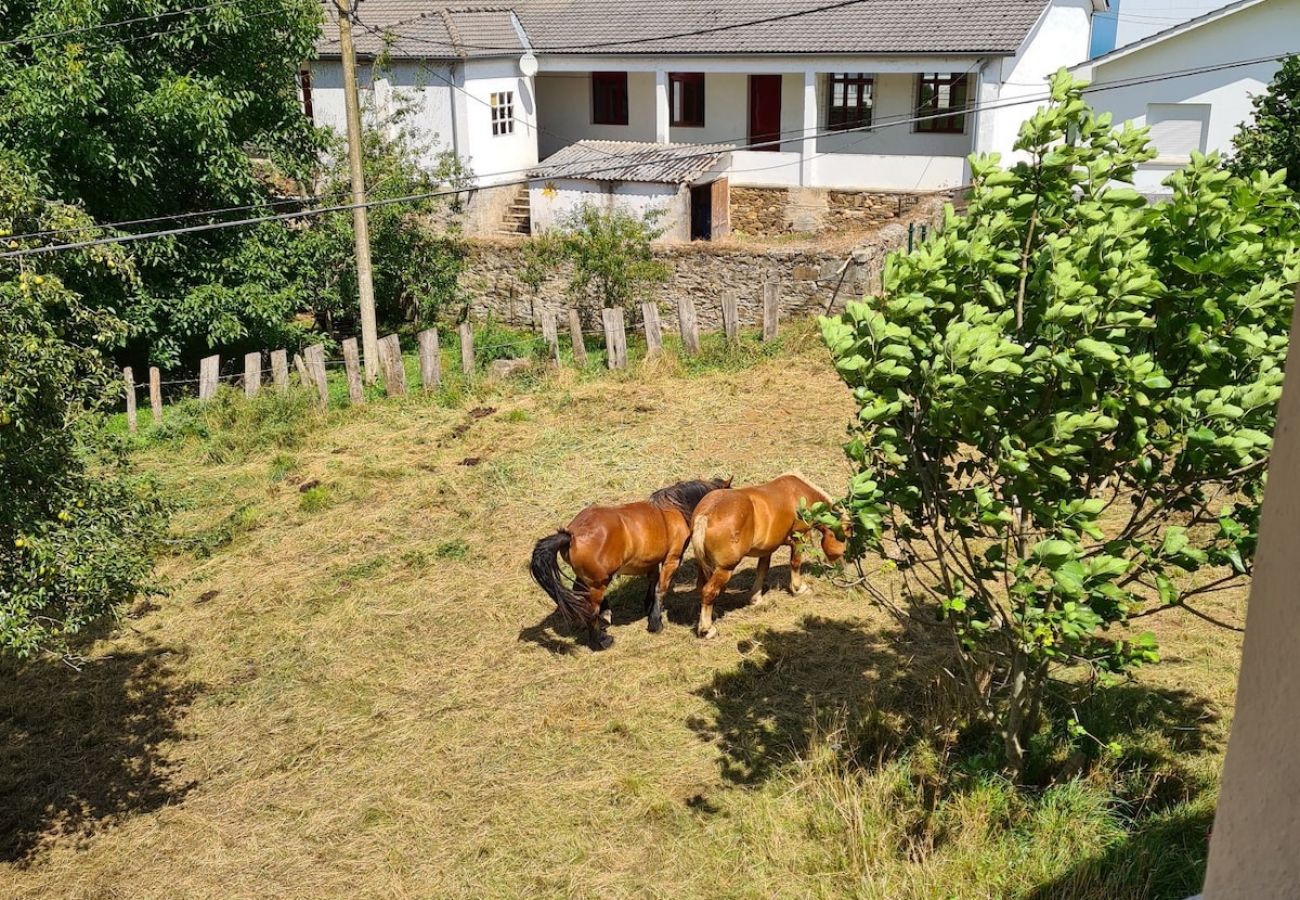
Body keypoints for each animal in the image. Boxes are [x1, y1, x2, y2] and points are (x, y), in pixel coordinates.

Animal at [530, 478, 733, 647]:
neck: (673, 509)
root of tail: (570, 535)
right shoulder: (672, 559)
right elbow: (661, 588)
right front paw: (655, 622)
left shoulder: (651, 562)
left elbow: (653, 582)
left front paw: (649, 608)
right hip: (598, 582)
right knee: (590, 610)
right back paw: (601, 640)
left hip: (588, 578)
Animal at [691, 470, 852, 639]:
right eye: (846, 536)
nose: (844, 565)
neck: (800, 493)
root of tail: (706, 514)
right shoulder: (799, 537)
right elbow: (795, 563)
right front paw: (799, 588)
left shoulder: (766, 549)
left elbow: (762, 570)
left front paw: (756, 598)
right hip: (725, 568)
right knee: (709, 591)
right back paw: (707, 629)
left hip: (704, 565)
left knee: (701, 588)